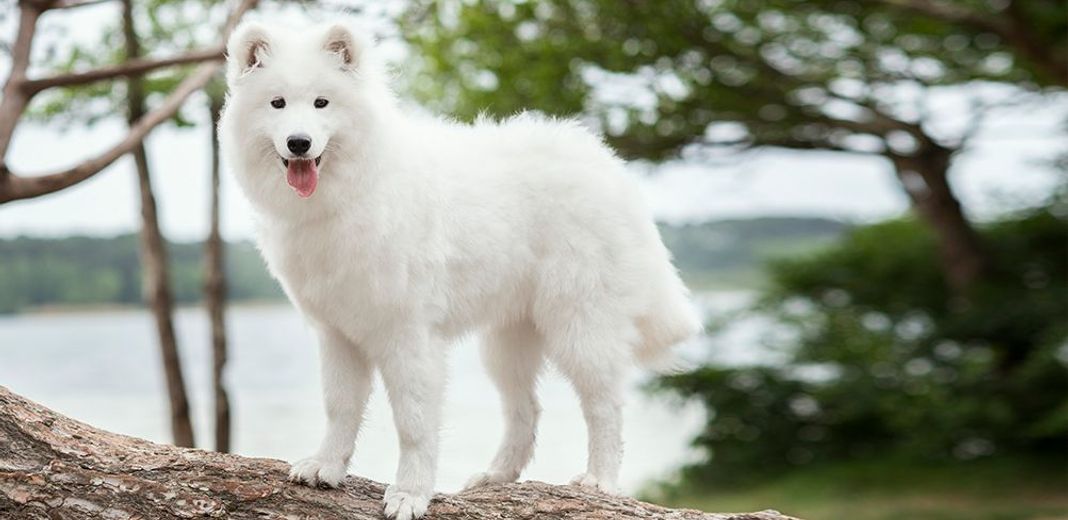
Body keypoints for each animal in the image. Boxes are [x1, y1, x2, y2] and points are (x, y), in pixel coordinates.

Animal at [218, 21, 700, 520]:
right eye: (277, 104)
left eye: (321, 103)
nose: (299, 143)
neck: (354, 192)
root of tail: (609, 166)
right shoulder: (338, 334)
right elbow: (339, 408)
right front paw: (326, 467)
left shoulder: (408, 336)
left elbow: (413, 424)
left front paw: (410, 494)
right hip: (507, 341)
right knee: (525, 409)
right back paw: (497, 476)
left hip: (580, 325)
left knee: (605, 407)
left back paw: (600, 481)